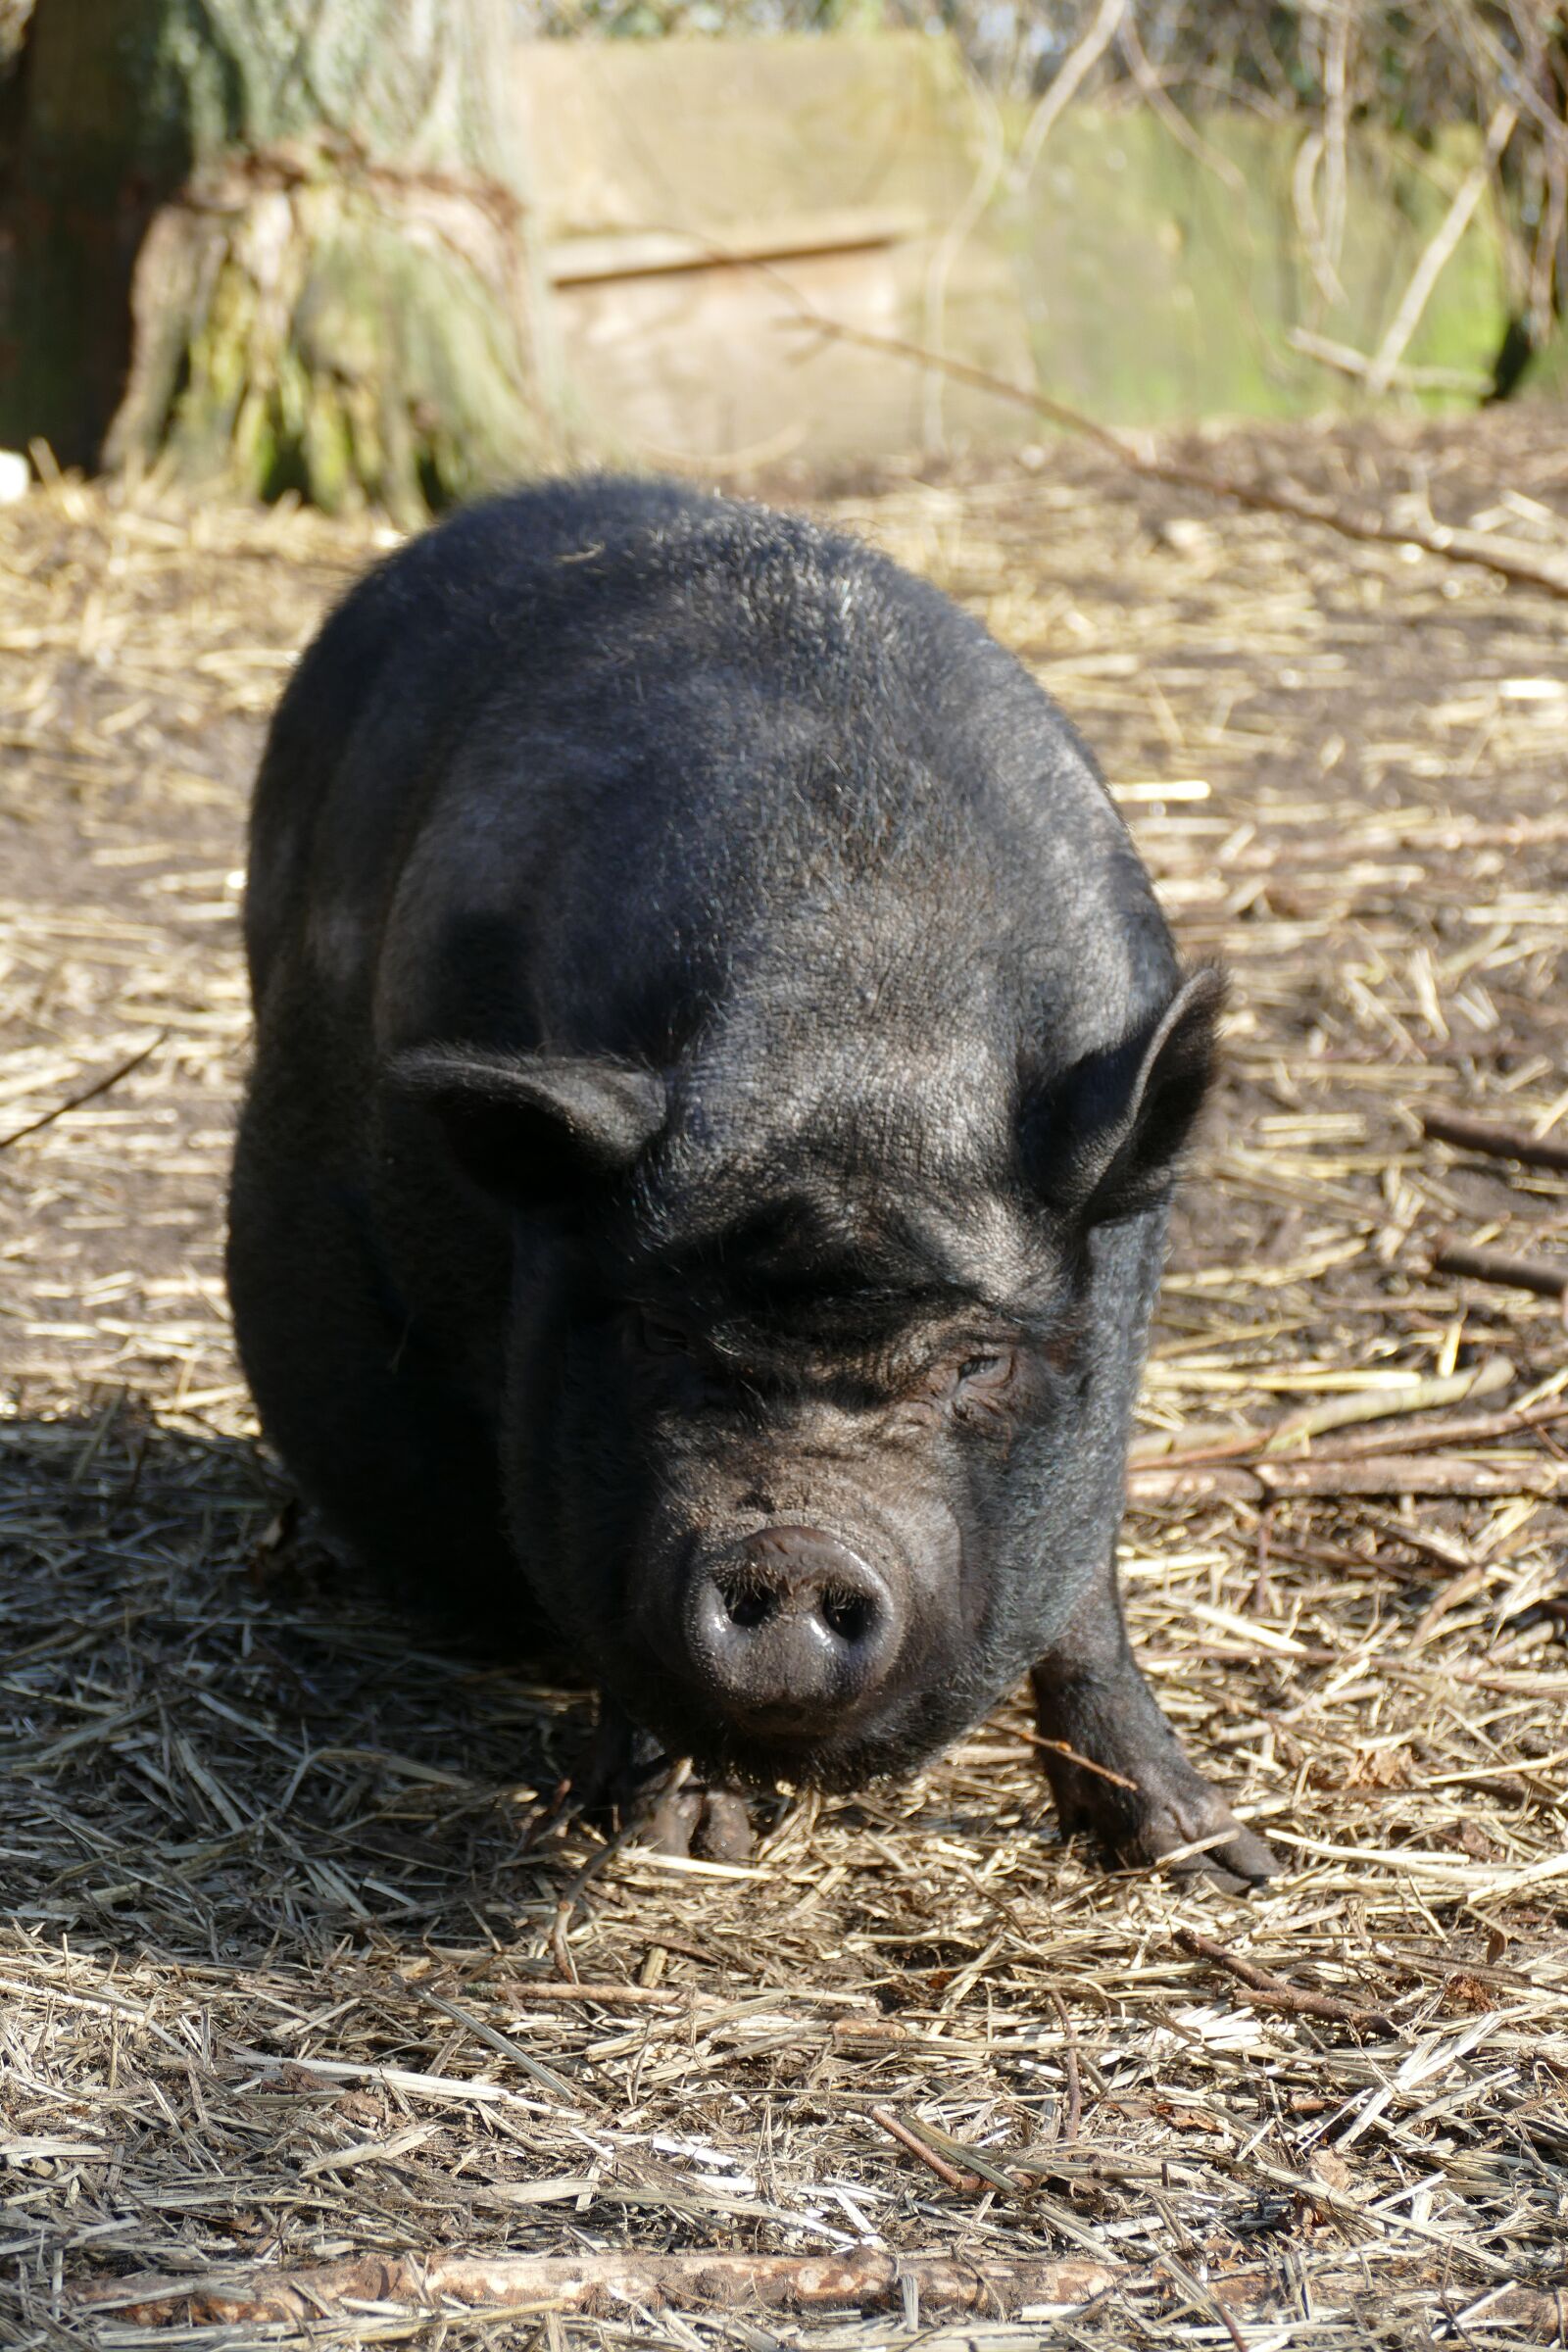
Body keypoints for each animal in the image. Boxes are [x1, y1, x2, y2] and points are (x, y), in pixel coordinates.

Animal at [227, 476, 1272, 1886]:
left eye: (976, 1362)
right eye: (661, 1333)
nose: (790, 1550)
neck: (853, 1033)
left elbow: (1086, 1594)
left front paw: (1208, 1860)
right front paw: (682, 1837)